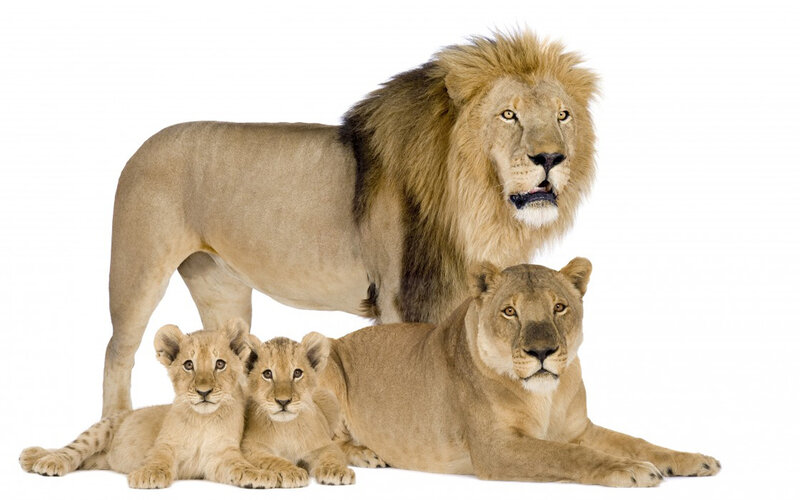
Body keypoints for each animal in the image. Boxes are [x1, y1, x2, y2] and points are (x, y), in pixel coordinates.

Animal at [20, 319, 280, 489]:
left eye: (220, 364)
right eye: (188, 365)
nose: (203, 392)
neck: (202, 420)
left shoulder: (220, 456)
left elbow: (240, 466)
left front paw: (259, 476)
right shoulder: (164, 444)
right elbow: (159, 459)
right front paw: (148, 475)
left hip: (98, 459)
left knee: (83, 459)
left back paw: (35, 457)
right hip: (100, 430)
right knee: (72, 448)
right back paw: (44, 459)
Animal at [101, 30, 598, 417]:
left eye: (563, 115)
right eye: (508, 114)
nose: (551, 158)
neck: (476, 202)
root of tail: (141, 146)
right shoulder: (401, 297)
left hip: (221, 287)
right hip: (138, 271)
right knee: (117, 352)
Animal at [240, 332, 378, 486]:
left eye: (297, 373)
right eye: (267, 374)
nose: (283, 401)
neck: (286, 427)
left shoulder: (324, 445)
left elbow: (331, 456)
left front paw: (337, 472)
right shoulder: (250, 448)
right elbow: (272, 459)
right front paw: (293, 472)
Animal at [319, 259, 721, 487]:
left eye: (559, 307)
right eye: (510, 312)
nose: (541, 352)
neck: (546, 395)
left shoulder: (579, 430)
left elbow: (637, 441)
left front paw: (691, 459)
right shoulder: (496, 449)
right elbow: (566, 456)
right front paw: (633, 470)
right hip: (326, 358)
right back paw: (366, 454)